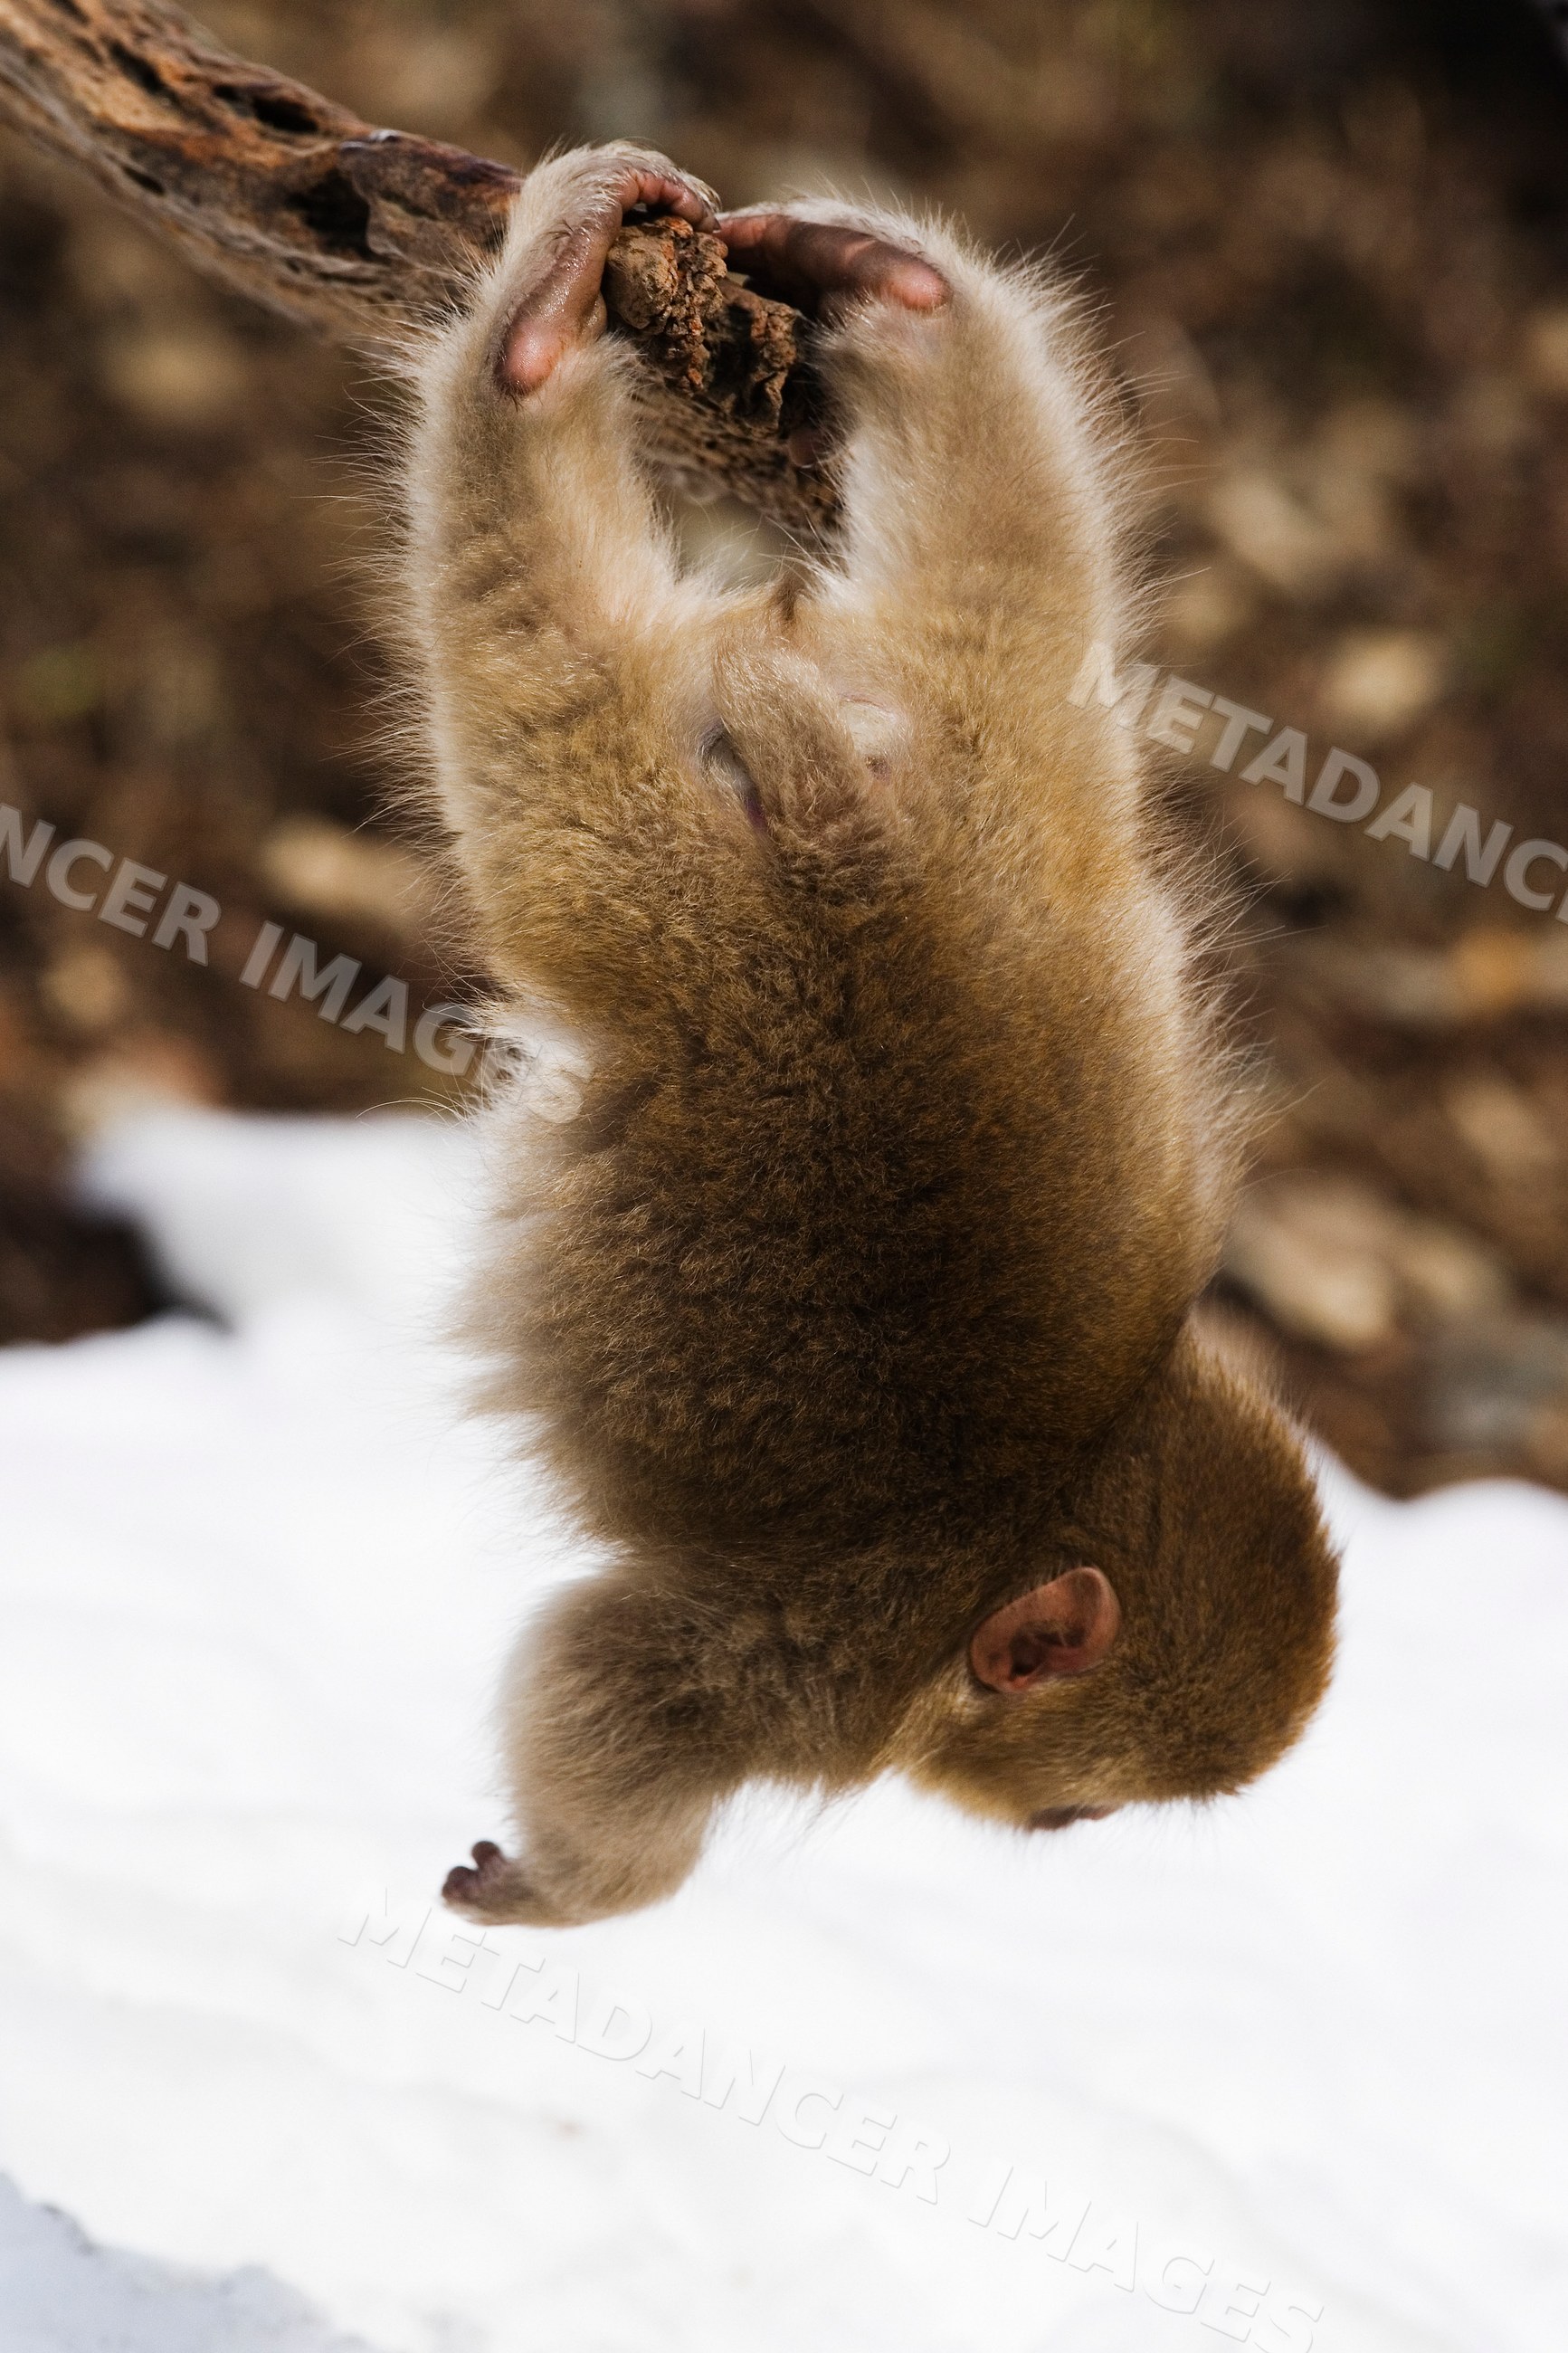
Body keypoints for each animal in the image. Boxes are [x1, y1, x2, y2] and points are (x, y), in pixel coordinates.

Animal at [393, 143, 1339, 1929]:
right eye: (1079, 1814)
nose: (1056, 1836)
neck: (1065, 1477)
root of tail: (869, 866)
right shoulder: (811, 1677)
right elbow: (616, 1685)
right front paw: (565, 1890)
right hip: (666, 883)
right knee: (532, 660)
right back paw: (532, 356)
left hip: (1010, 768)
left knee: (1011, 553)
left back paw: (892, 296)